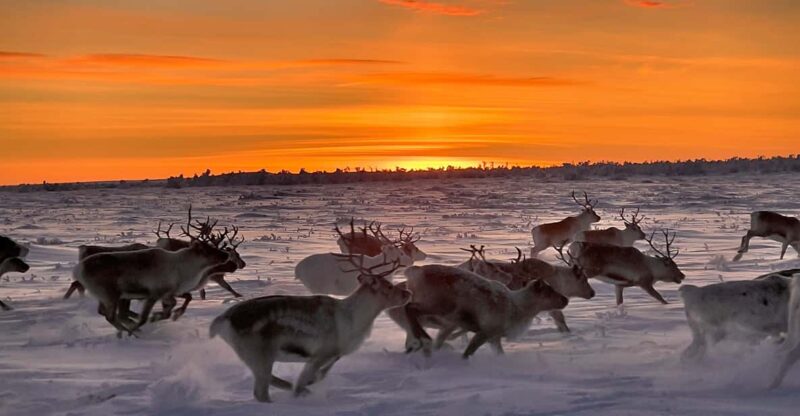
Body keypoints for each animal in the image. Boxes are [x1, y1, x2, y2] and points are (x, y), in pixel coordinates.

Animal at [73, 210, 243, 335]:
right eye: (208, 250)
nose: (227, 257)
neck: (185, 269)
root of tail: (78, 268)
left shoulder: (169, 292)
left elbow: (180, 302)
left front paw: (166, 315)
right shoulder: (155, 292)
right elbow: (146, 316)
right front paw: (147, 321)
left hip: (108, 296)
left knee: (107, 313)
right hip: (111, 294)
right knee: (111, 315)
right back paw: (130, 332)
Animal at [210, 255, 411, 402]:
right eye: (389, 286)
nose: (408, 293)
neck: (355, 320)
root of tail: (221, 320)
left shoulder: (332, 355)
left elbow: (320, 375)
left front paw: (308, 386)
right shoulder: (320, 354)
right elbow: (305, 379)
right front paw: (302, 391)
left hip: (252, 357)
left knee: (269, 380)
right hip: (259, 355)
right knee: (261, 391)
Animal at [386, 264, 568, 358]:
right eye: (549, 292)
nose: (566, 300)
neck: (518, 308)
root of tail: (413, 271)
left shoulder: (493, 337)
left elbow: (499, 353)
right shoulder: (485, 331)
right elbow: (467, 353)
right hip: (439, 305)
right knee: (410, 308)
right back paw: (423, 338)